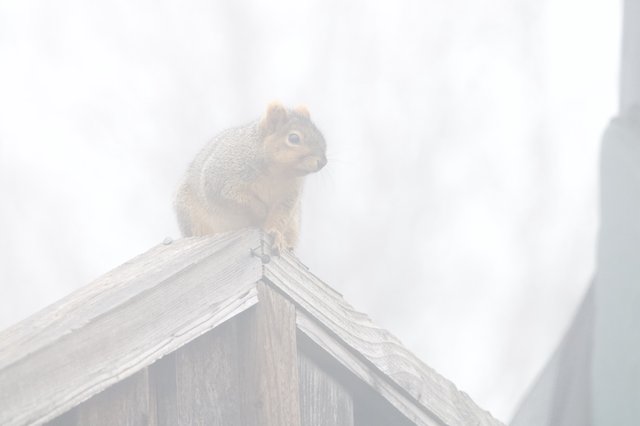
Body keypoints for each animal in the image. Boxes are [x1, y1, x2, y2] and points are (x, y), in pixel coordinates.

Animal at [174, 102, 327, 254]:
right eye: (294, 138)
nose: (323, 162)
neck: (277, 173)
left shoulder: (288, 196)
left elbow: (279, 217)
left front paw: (276, 234)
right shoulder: (220, 180)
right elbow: (237, 199)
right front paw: (261, 211)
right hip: (191, 216)